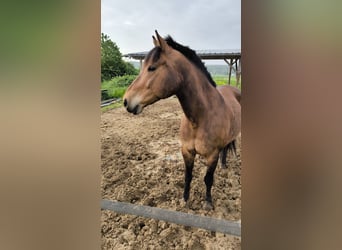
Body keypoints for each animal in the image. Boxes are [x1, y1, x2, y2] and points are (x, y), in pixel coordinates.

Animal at [123, 30, 240, 209]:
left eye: (152, 68)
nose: (126, 101)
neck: (200, 118)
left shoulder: (212, 155)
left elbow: (208, 179)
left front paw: (208, 203)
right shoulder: (187, 151)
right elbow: (188, 176)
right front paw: (184, 200)